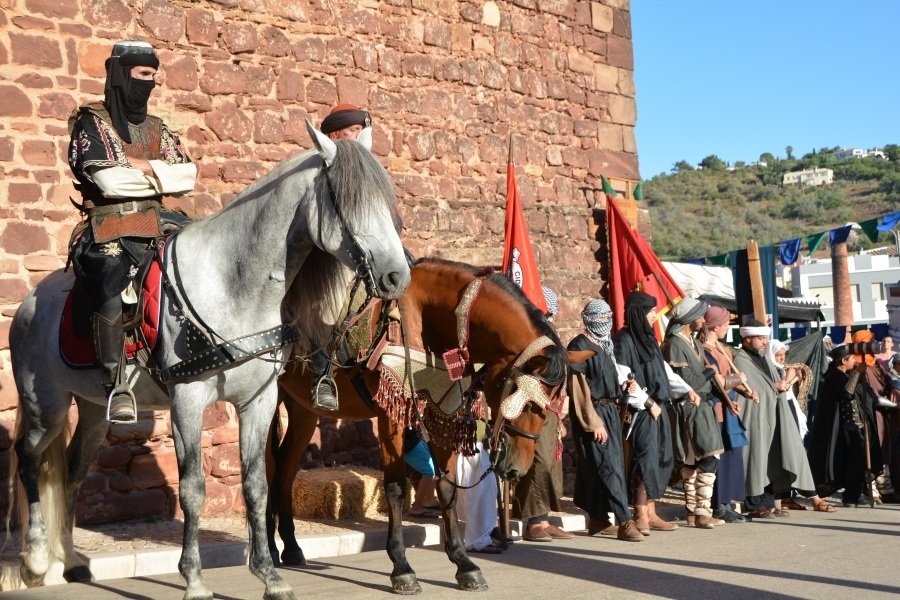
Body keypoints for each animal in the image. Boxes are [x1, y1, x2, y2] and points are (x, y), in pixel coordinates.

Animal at [268, 256, 584, 592]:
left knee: (285, 470)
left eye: (551, 405)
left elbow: (446, 486)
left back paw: (291, 548)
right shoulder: (391, 413)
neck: (427, 319)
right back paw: (272, 549)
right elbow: (396, 488)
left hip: (303, 410)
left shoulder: (440, 413)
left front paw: (463, 564)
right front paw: (402, 567)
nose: (515, 469)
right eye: (527, 403)